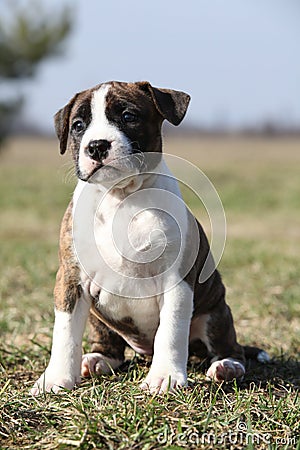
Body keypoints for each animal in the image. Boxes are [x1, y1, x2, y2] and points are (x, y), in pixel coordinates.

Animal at [31, 82, 270, 396]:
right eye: (78, 126)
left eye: (129, 116)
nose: (96, 146)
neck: (120, 196)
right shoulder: (71, 280)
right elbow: (65, 333)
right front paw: (55, 379)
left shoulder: (176, 281)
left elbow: (170, 331)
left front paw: (165, 377)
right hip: (98, 316)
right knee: (110, 345)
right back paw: (96, 360)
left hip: (216, 312)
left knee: (228, 346)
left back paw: (227, 366)